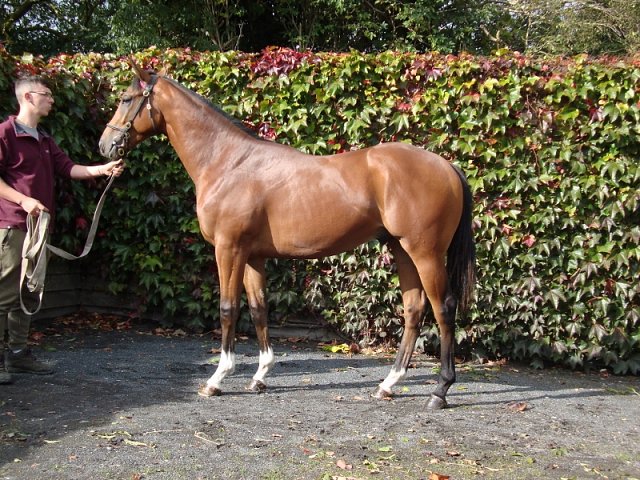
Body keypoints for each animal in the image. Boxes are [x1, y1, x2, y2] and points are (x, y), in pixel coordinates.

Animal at [99, 61, 476, 408]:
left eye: (126, 99)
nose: (106, 146)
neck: (228, 163)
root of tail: (447, 166)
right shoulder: (252, 255)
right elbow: (258, 309)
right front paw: (260, 375)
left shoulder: (229, 249)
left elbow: (227, 308)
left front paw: (217, 378)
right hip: (401, 249)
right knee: (413, 309)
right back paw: (388, 384)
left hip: (425, 252)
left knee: (443, 309)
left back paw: (440, 391)